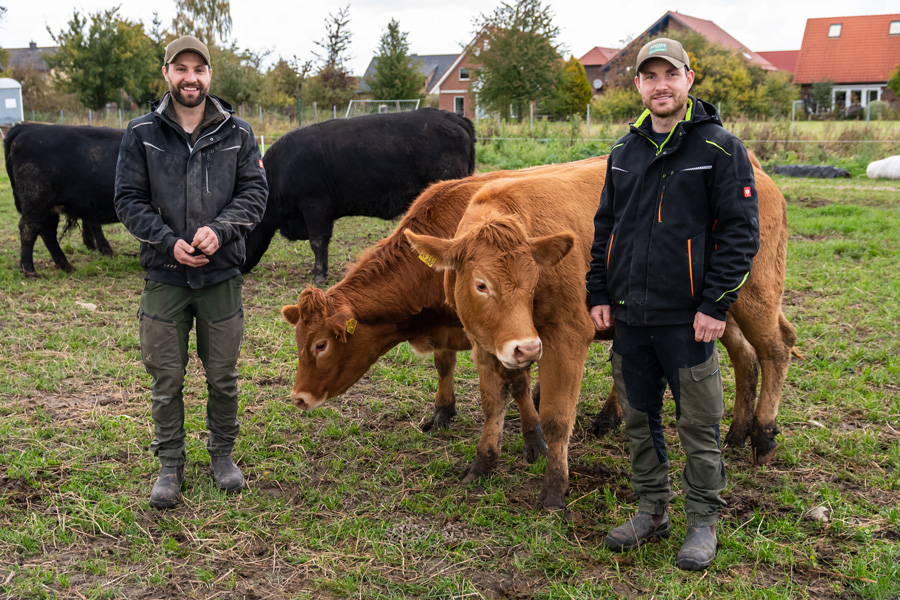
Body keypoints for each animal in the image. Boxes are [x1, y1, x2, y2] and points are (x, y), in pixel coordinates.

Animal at [3, 125, 123, 278]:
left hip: (49, 208)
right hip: (36, 202)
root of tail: (28, 127)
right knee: (28, 229)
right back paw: (30, 271)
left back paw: (65, 265)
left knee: (47, 232)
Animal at [406, 170, 604, 510]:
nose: (529, 347)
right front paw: (482, 464)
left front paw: (554, 489)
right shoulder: (483, 343)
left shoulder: (568, 337)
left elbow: (557, 419)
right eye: (481, 285)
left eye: (534, 281)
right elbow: (493, 404)